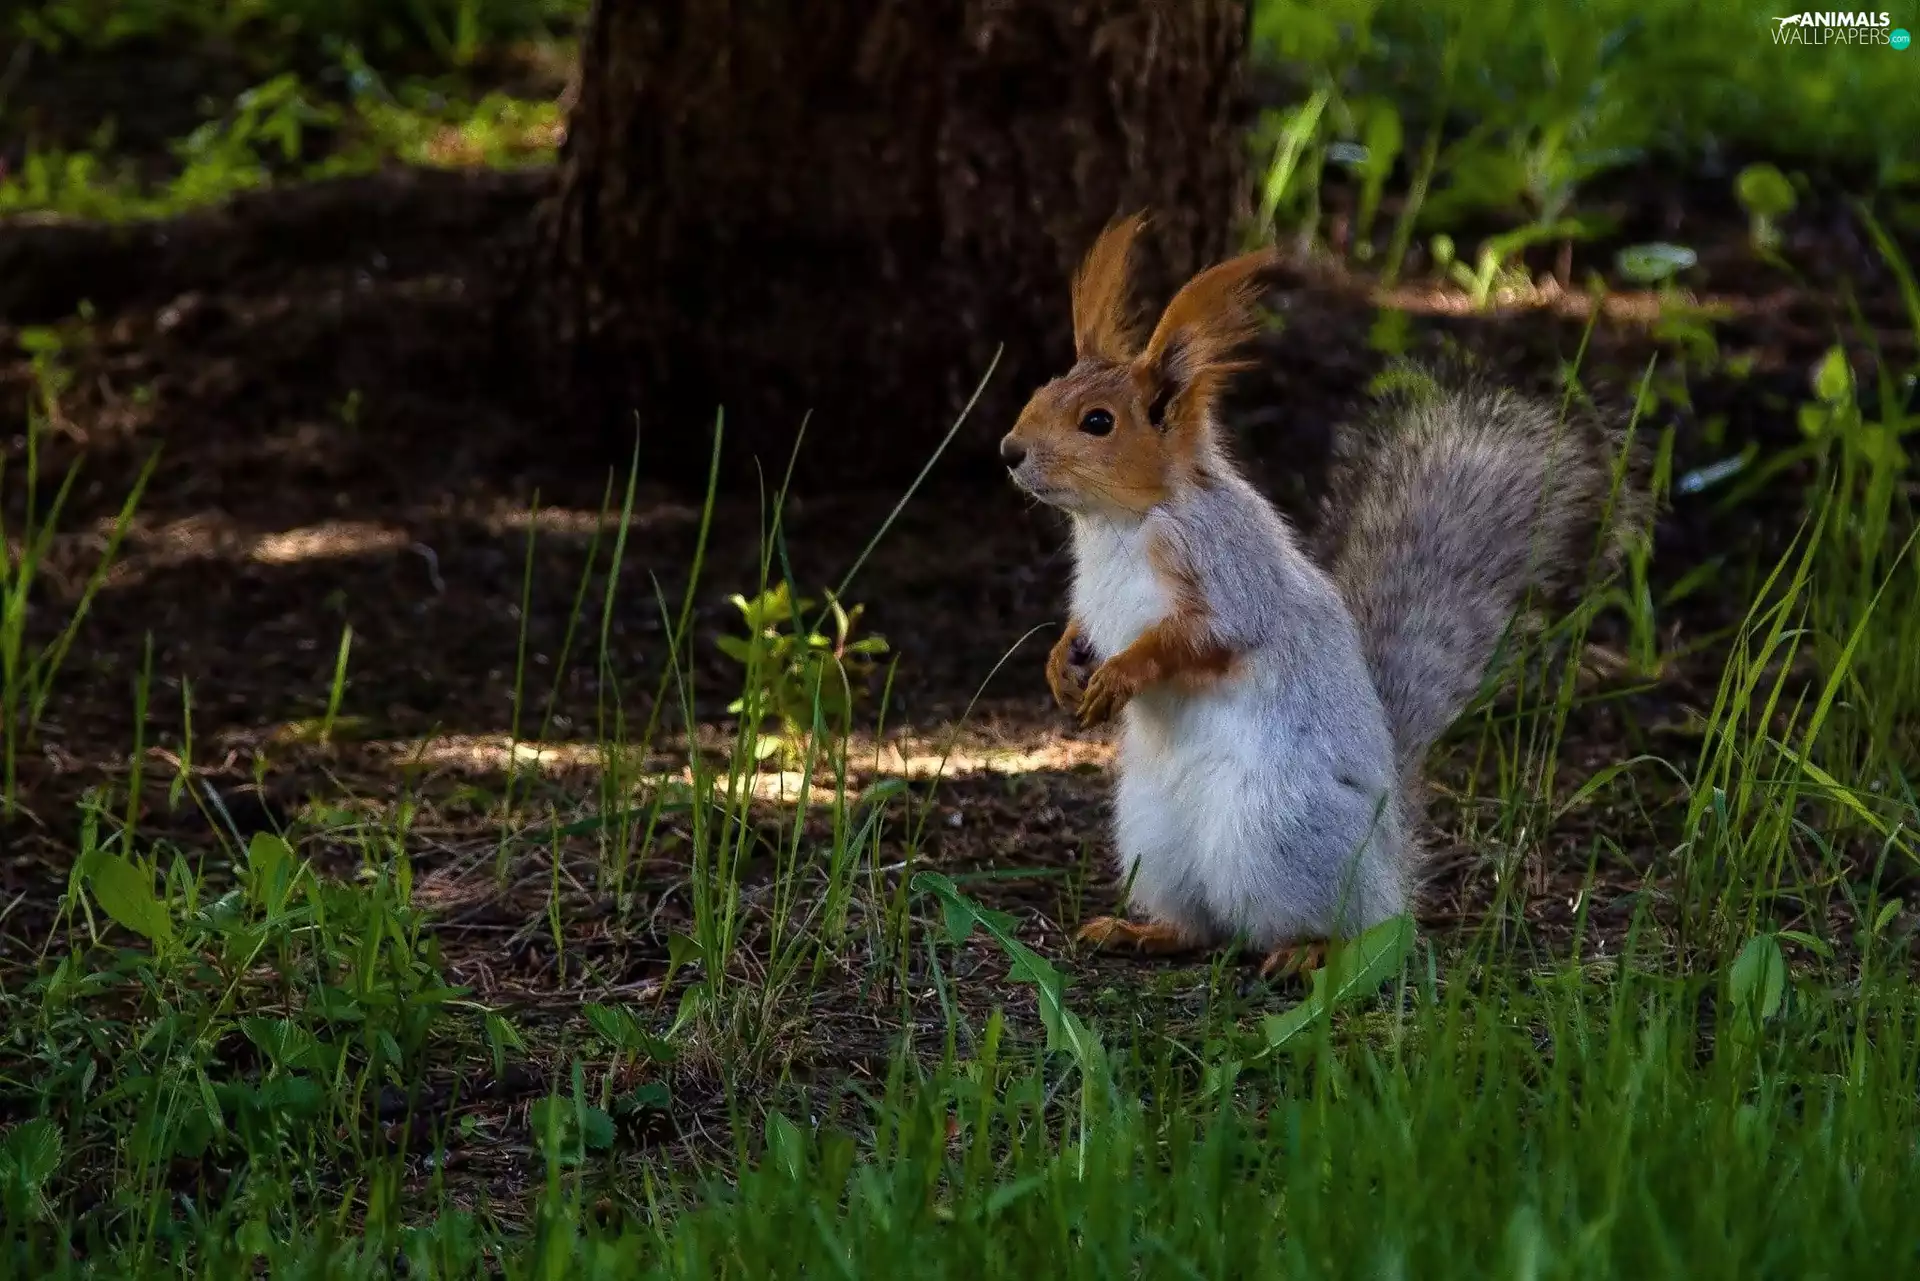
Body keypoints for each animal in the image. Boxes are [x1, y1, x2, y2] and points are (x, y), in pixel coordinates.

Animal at [999, 214, 1644, 977]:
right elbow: (1081, 625)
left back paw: (1307, 952)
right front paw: (1061, 665)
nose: (1009, 451)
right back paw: (1144, 931)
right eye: (1042, 392)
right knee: (1204, 925)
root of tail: (1392, 853)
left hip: (1279, 830)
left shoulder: (1225, 569)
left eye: (1098, 422)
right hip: (1153, 839)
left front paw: (1121, 674)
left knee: (1345, 925)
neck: (1121, 524)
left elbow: (1205, 637)